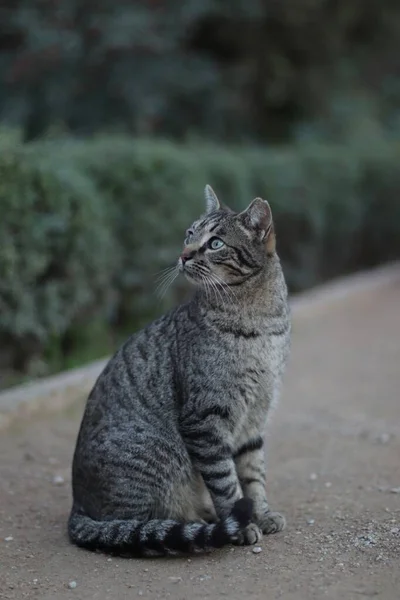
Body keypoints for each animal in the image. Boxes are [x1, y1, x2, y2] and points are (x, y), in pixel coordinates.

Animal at [69, 185, 290, 556]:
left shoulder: (255, 417)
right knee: (140, 525)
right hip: (155, 460)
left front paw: (261, 513)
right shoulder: (204, 420)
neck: (259, 323)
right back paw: (199, 523)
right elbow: (226, 483)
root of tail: (77, 506)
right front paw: (242, 525)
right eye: (190, 234)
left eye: (215, 243)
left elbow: (253, 474)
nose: (184, 254)